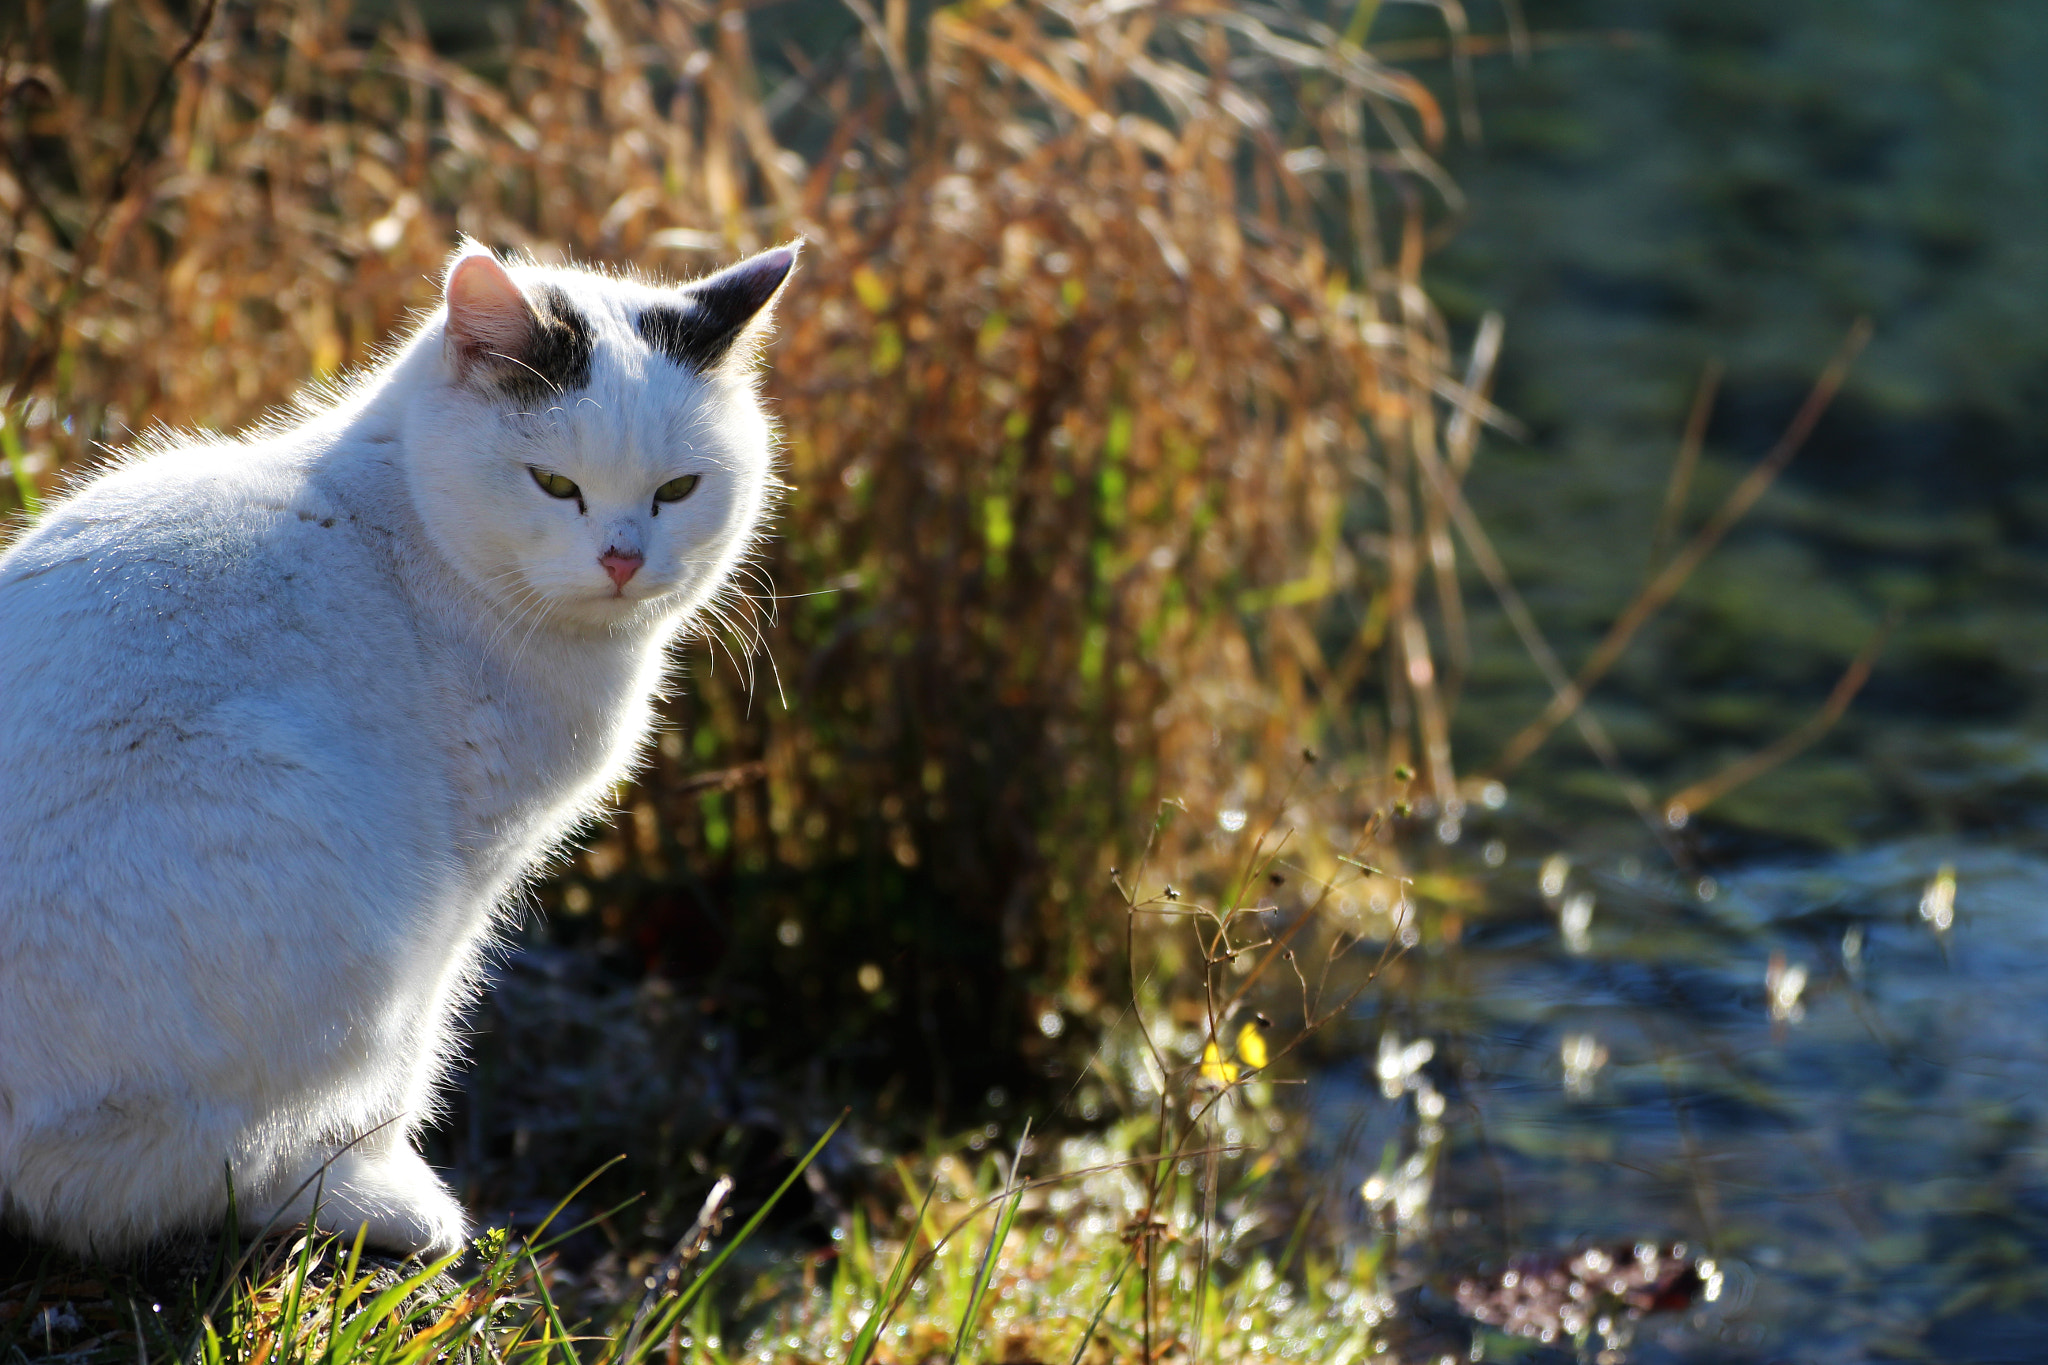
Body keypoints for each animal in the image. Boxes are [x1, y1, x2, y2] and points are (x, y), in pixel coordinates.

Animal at [0, 237, 794, 1260]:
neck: (408, 525)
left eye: (678, 490)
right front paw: (386, 1168)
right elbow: (414, 1055)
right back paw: (353, 1198)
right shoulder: (462, 880)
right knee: (112, 1186)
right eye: (555, 484)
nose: (622, 558)